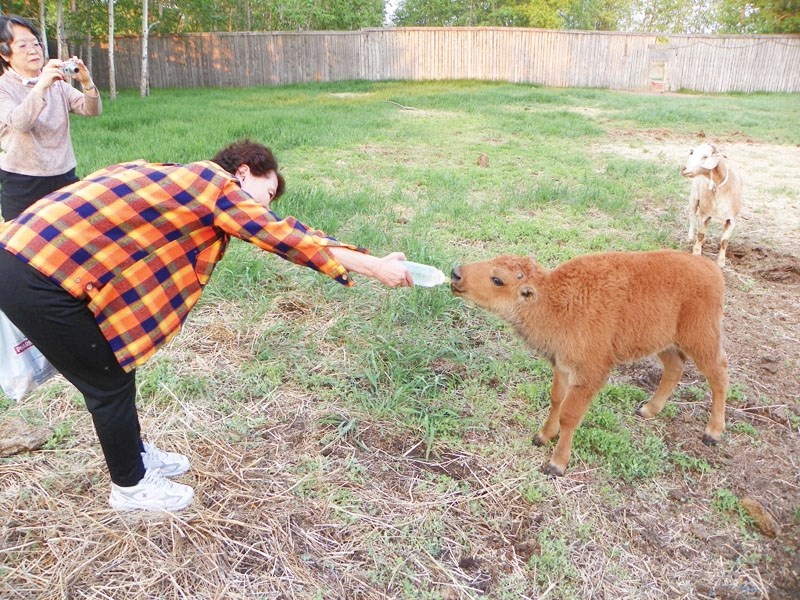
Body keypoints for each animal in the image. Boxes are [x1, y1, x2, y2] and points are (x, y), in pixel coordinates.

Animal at [454, 251, 728, 476]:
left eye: (498, 280)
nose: (456, 273)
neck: (555, 302)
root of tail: (711, 269)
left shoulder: (589, 374)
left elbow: (570, 415)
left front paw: (556, 464)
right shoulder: (563, 367)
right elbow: (556, 400)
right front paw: (542, 436)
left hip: (700, 338)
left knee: (719, 373)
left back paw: (712, 433)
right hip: (665, 343)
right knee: (675, 367)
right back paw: (648, 410)